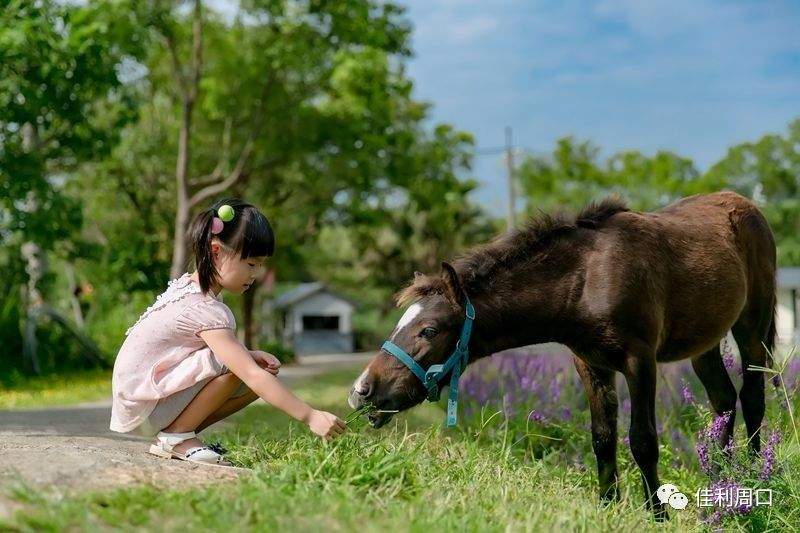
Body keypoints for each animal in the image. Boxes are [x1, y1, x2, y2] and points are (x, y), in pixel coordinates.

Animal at [348, 192, 776, 520]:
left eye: (429, 330)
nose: (362, 391)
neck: (587, 279)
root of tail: (747, 206)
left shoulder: (640, 362)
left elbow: (642, 440)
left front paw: (657, 514)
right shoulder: (591, 364)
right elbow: (602, 438)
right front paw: (607, 507)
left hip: (752, 325)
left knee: (753, 396)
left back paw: (752, 478)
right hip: (705, 343)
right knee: (723, 400)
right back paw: (719, 481)